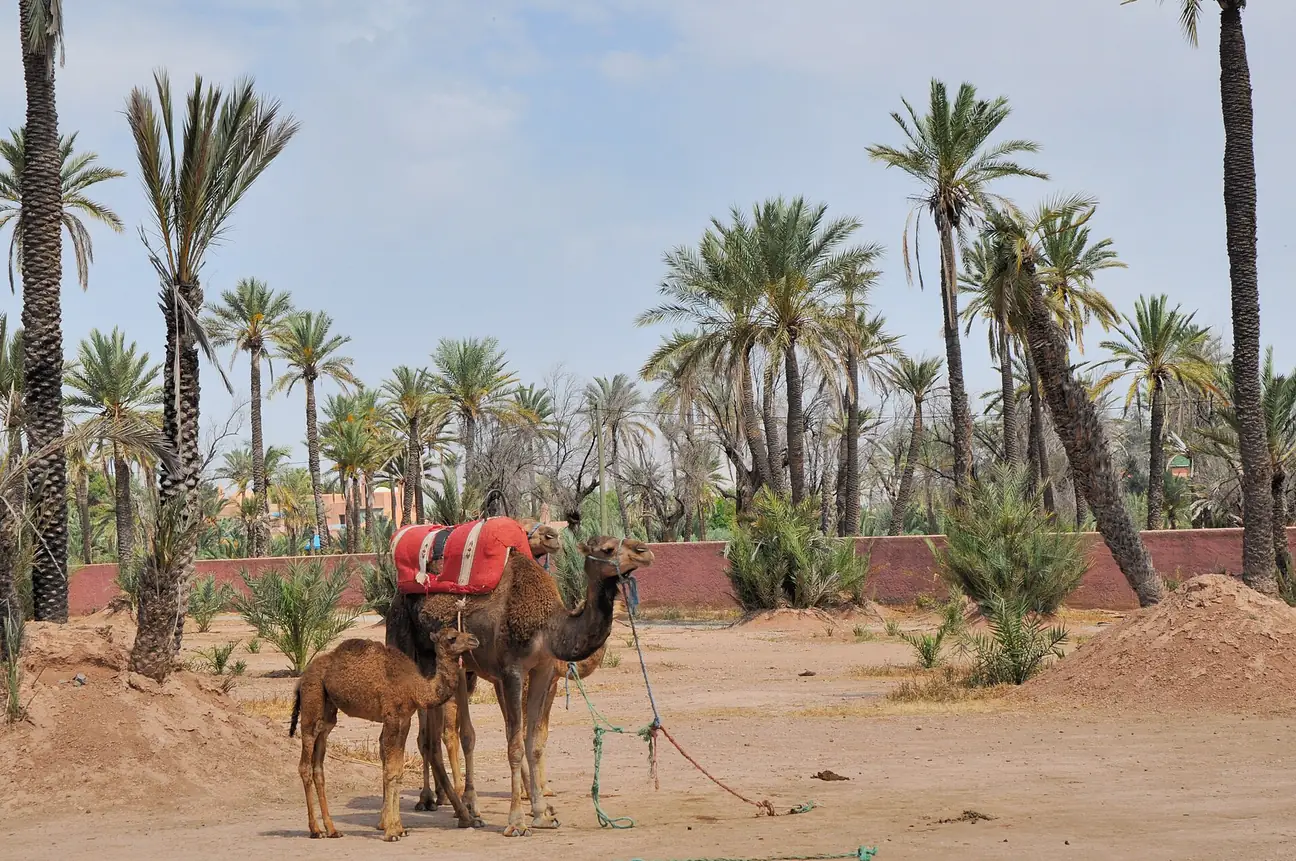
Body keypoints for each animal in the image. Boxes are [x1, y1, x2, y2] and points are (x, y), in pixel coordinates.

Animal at [289, 628, 480, 841]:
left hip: (327, 714)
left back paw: (332, 829)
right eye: (452, 638)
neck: (415, 687)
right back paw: (315, 830)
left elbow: (398, 771)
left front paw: (400, 828)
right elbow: (390, 771)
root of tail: (302, 677)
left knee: (319, 765)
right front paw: (390, 832)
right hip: (312, 703)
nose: (474, 639)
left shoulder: (404, 721)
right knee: (305, 763)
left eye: (458, 632)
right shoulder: (391, 718)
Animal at [387, 533, 654, 837]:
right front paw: (516, 822)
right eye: (607, 549)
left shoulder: (543, 670)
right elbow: (514, 744)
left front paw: (542, 814)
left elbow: (533, 742)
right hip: (404, 646)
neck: (548, 626)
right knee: (416, 735)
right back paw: (409, 816)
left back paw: (464, 812)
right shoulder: (512, 671)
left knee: (434, 740)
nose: (644, 552)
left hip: (447, 666)